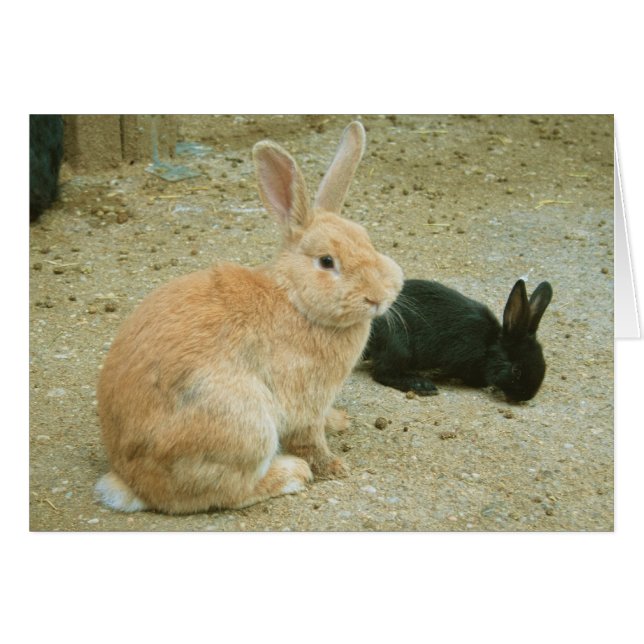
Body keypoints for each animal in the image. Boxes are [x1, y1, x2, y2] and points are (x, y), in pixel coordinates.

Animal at [95, 121, 404, 514]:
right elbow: (310, 439)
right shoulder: (304, 399)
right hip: (245, 424)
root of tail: (133, 483)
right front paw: (334, 467)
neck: (294, 298)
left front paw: (339, 421)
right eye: (326, 261)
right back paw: (292, 474)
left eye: (367, 240)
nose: (378, 296)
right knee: (225, 491)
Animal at [365, 278, 553, 401]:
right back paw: (422, 385)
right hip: (398, 347)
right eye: (516, 370)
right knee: (383, 373)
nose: (526, 396)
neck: (488, 345)